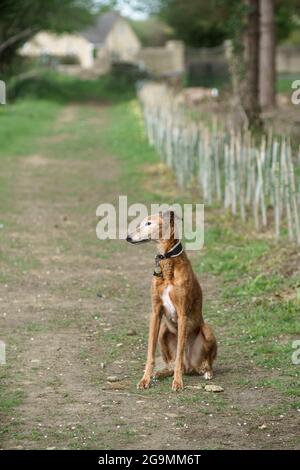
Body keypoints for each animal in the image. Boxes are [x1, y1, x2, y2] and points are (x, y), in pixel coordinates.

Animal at [125, 209, 217, 390]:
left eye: (148, 223)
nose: (128, 237)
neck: (167, 261)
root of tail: (191, 366)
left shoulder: (182, 314)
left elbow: (180, 353)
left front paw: (177, 382)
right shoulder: (155, 313)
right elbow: (150, 353)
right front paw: (145, 379)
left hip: (207, 331)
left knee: (204, 361)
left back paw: (206, 372)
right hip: (163, 331)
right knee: (171, 363)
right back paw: (162, 373)